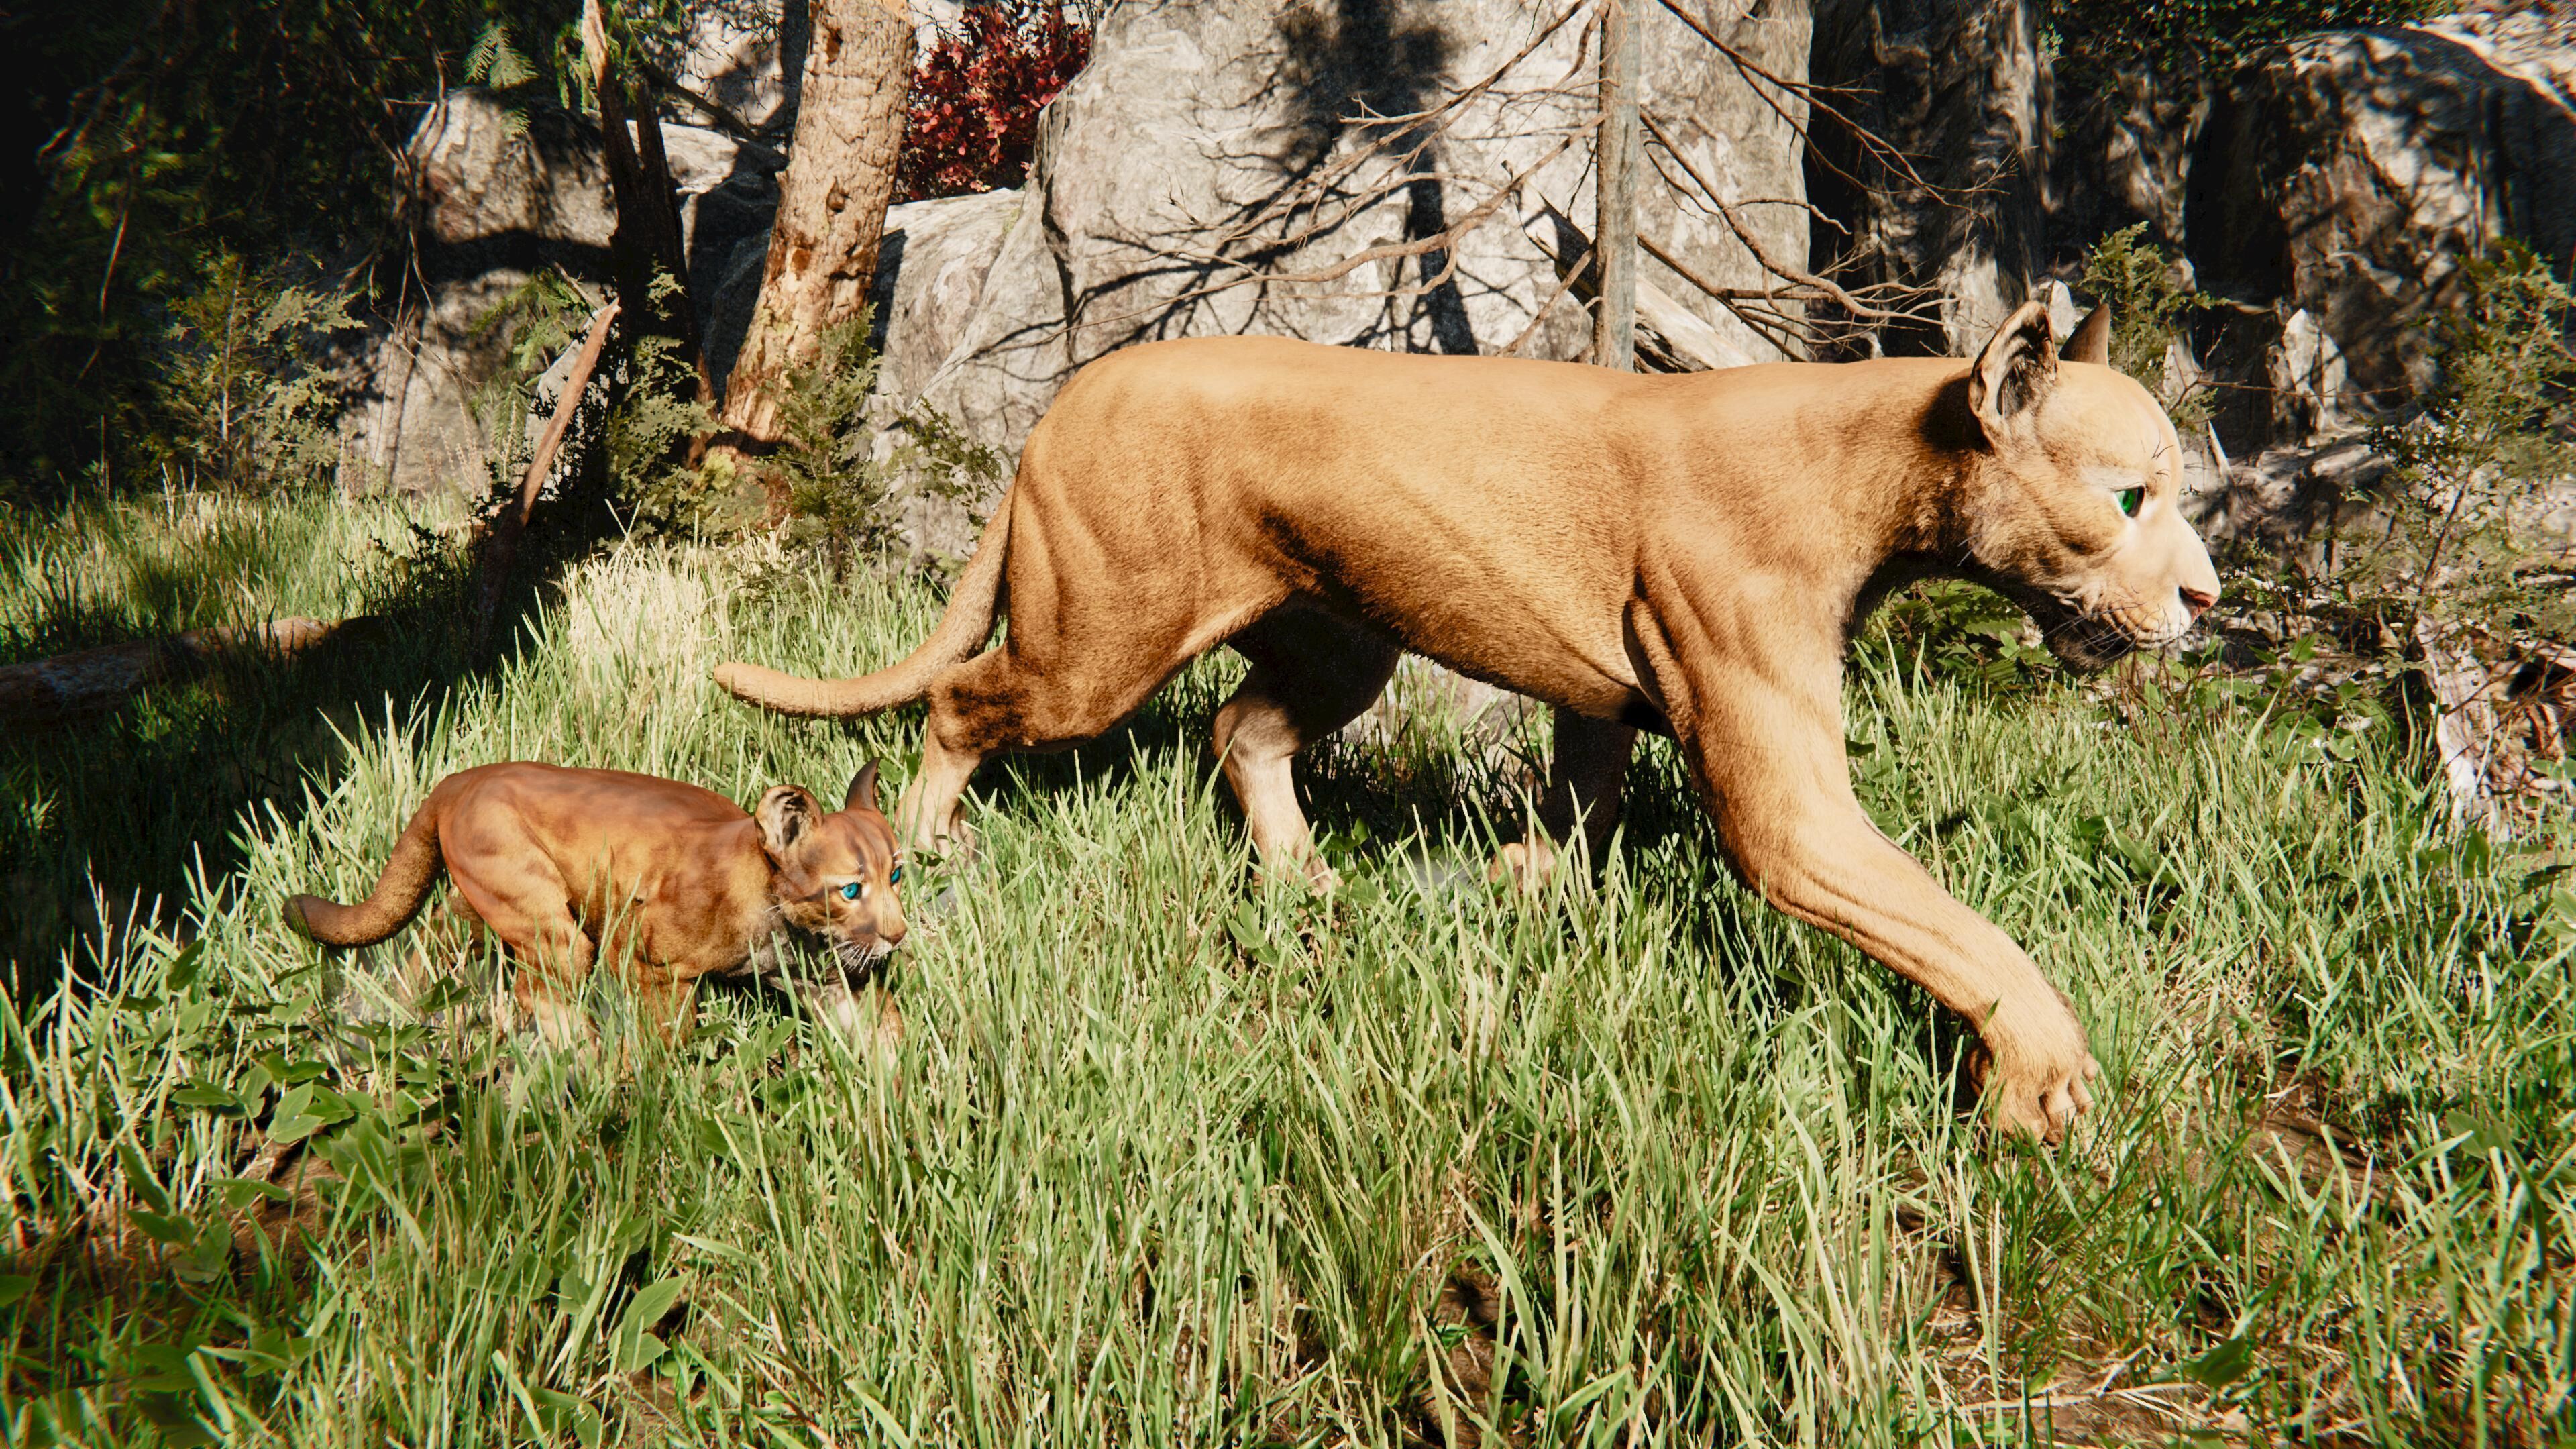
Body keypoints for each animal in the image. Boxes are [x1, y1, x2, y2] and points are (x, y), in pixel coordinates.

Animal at [286, 761, 908, 1044]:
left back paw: (412, 1013)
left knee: (434, 938)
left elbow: (883, 1029)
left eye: (897, 873)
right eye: (851, 889)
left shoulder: (829, 982)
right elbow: (669, 1031)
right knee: (537, 987)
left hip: (484, 904)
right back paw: (583, 1062)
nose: (898, 934)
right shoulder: (641, 956)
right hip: (549, 923)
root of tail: (466, 776)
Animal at [712, 302, 2220, 1140]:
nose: (2206, 595)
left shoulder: (1609, 709)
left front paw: (1517, 883)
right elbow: (1957, 929)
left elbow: (1585, 812)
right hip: (1104, 637)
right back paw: (932, 849)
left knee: (1241, 732)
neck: (1897, 465)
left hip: (1337, 644)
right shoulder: (1788, 805)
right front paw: (2047, 1082)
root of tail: (1058, 407)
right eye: (2131, 497)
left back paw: (1305, 882)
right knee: (967, 698)